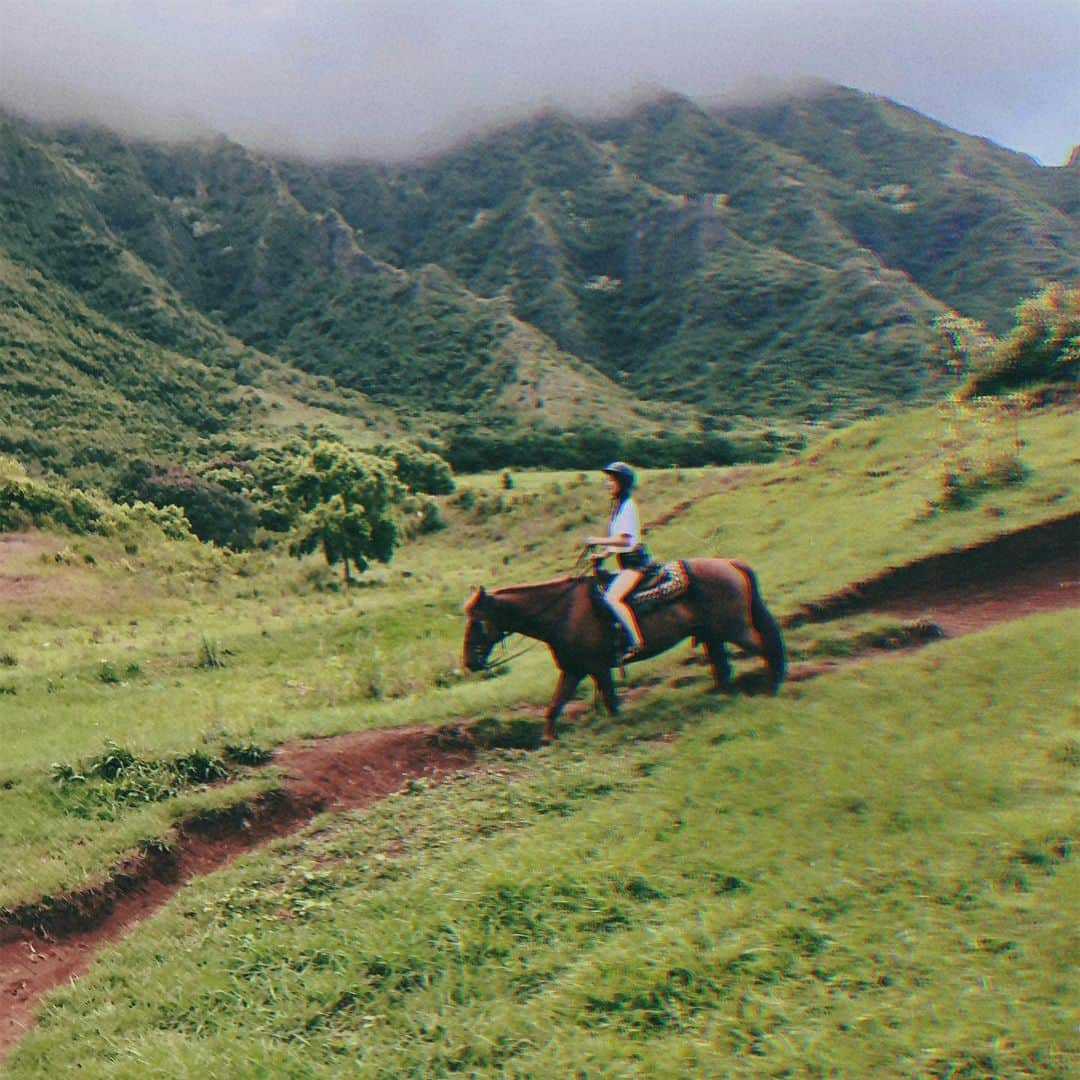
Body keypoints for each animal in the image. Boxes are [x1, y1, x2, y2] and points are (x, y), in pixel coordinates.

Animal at [464, 557, 786, 743]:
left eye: (477, 621)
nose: (469, 662)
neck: (564, 611)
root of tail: (731, 564)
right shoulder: (574, 669)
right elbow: (555, 706)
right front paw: (547, 740)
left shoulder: (596, 667)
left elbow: (610, 702)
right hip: (712, 634)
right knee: (723, 667)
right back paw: (721, 697)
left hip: (734, 628)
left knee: (766, 648)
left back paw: (772, 688)